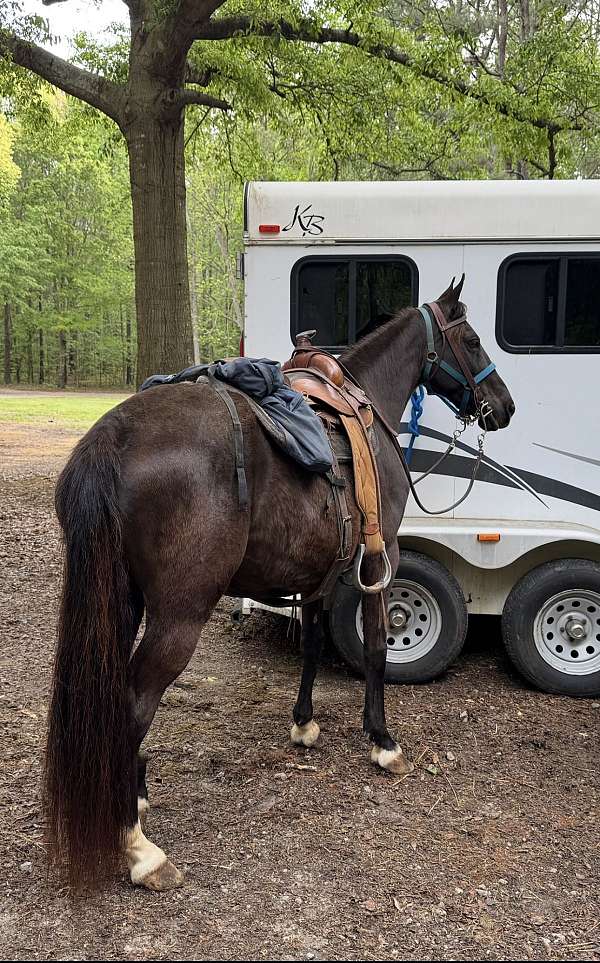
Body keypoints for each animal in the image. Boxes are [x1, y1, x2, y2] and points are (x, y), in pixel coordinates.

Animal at [43, 277, 514, 892]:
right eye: (474, 340)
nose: (505, 407)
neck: (363, 404)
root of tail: (114, 437)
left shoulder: (316, 572)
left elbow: (312, 642)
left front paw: (304, 723)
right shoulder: (377, 559)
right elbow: (377, 648)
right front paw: (383, 741)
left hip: (120, 602)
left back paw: (135, 798)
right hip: (178, 615)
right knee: (132, 702)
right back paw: (138, 846)